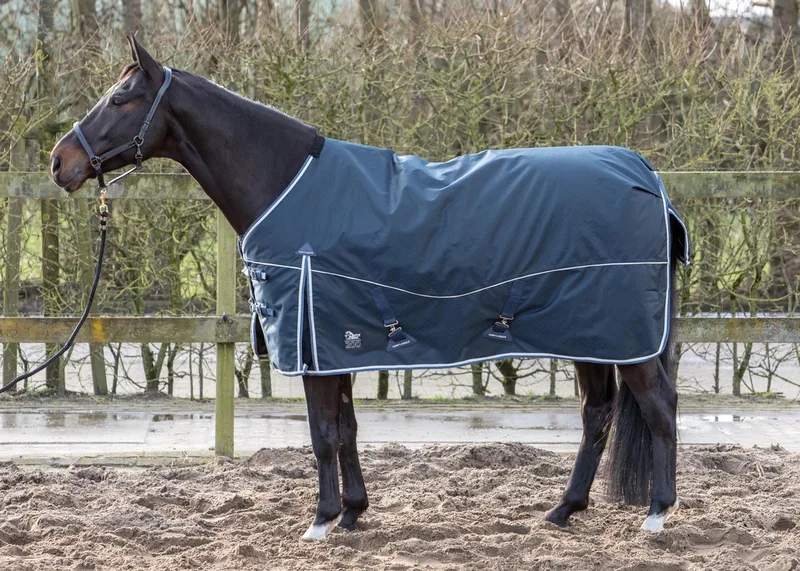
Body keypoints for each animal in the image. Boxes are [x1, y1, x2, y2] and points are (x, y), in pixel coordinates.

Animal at [50, 36, 684, 540]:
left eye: (120, 99)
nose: (60, 162)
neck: (286, 184)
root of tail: (646, 175)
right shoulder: (338, 342)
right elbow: (348, 429)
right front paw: (354, 511)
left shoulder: (313, 344)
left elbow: (322, 435)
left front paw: (321, 520)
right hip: (590, 335)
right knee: (596, 413)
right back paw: (563, 509)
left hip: (624, 336)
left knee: (658, 407)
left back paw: (657, 513)